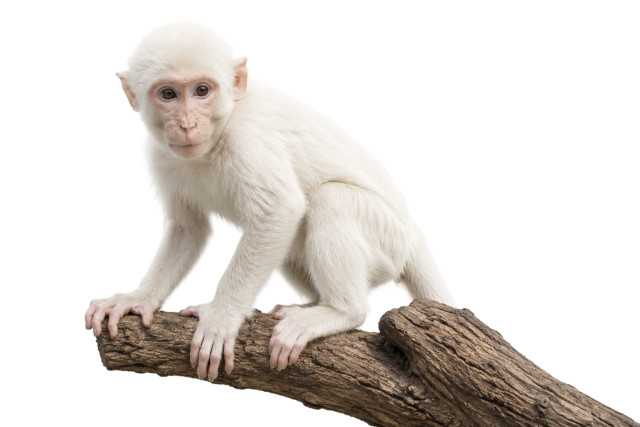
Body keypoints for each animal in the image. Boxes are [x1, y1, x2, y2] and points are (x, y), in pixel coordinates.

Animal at [84, 19, 457, 382]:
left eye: (202, 91)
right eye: (168, 94)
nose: (187, 125)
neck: (219, 132)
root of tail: (414, 234)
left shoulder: (246, 139)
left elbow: (278, 212)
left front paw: (221, 318)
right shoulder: (157, 152)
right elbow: (189, 230)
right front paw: (138, 299)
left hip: (390, 241)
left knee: (330, 200)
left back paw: (340, 311)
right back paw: (309, 305)